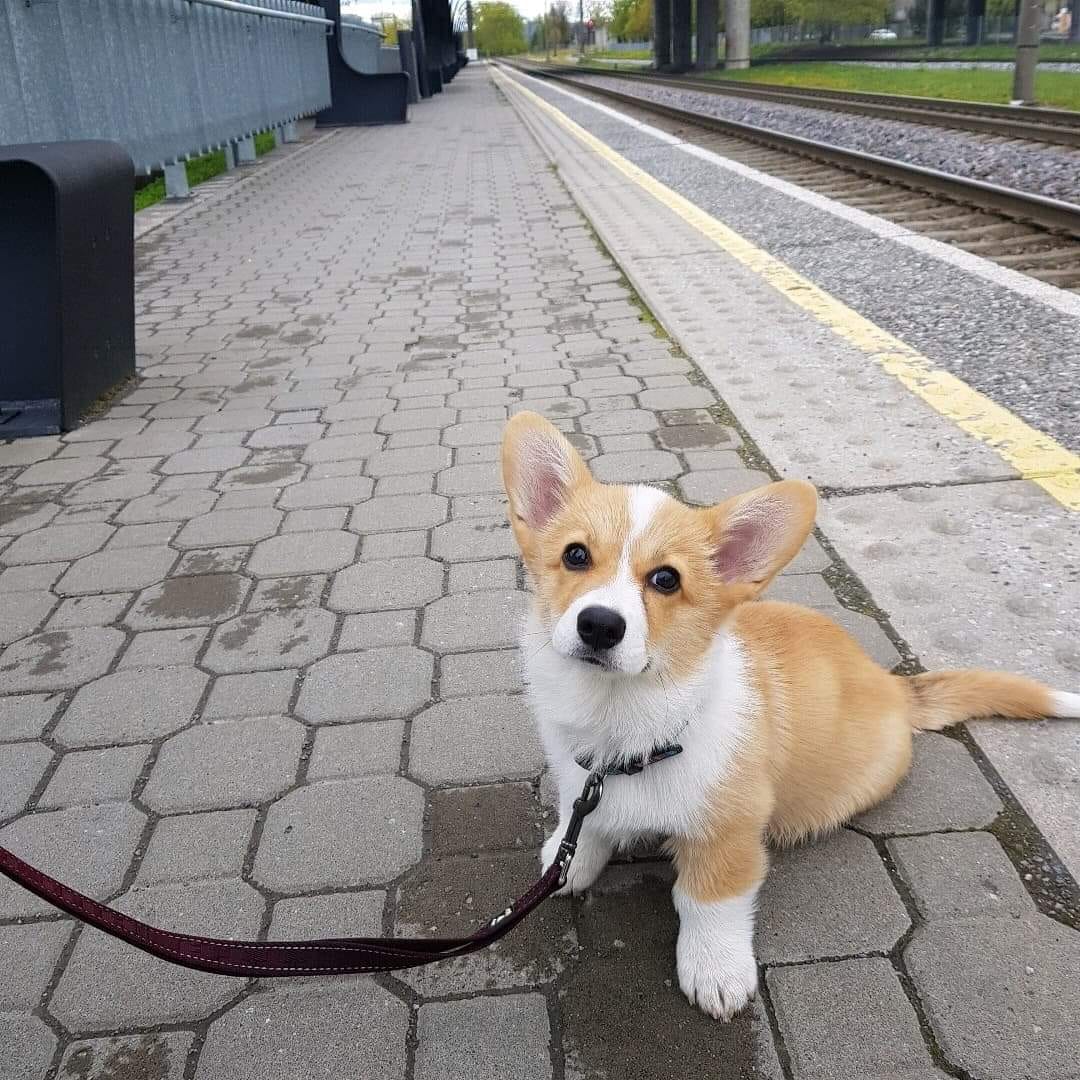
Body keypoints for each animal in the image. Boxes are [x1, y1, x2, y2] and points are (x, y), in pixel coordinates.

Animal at [501, 410, 1075, 1019]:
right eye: (575, 555)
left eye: (666, 580)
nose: (599, 625)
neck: (624, 718)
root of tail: (893, 685)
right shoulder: (580, 782)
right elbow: (582, 828)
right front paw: (566, 864)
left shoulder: (729, 835)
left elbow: (708, 904)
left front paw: (716, 973)